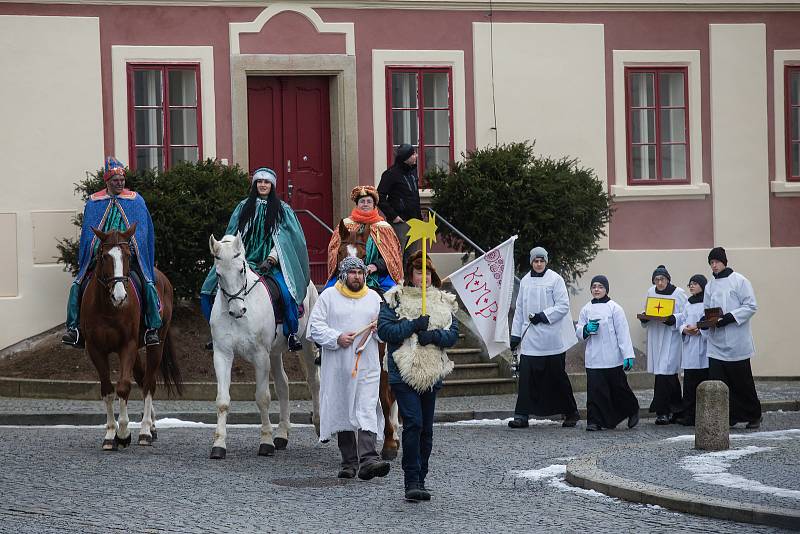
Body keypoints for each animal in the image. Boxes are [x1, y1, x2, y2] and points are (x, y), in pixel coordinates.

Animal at [84, 224, 184, 450]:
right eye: (104, 256)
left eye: (129, 255)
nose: (120, 297)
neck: (108, 308)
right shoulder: (95, 349)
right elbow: (107, 390)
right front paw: (110, 435)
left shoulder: (126, 346)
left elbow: (123, 386)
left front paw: (123, 433)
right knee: (142, 376)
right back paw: (152, 427)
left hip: (156, 343)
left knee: (148, 383)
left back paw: (146, 431)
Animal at [208, 234, 320, 460]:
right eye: (218, 273)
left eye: (241, 270)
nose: (237, 310)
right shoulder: (222, 355)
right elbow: (222, 401)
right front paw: (219, 445)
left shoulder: (260, 356)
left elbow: (262, 398)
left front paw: (266, 442)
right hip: (274, 353)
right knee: (283, 384)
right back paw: (282, 434)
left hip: (306, 344)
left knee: (314, 381)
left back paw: (320, 427)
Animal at [334, 220, 400, 462]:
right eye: (341, 252)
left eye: (363, 255)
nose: (352, 273)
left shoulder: (380, 364)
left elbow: (385, 399)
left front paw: (389, 445)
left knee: (390, 397)